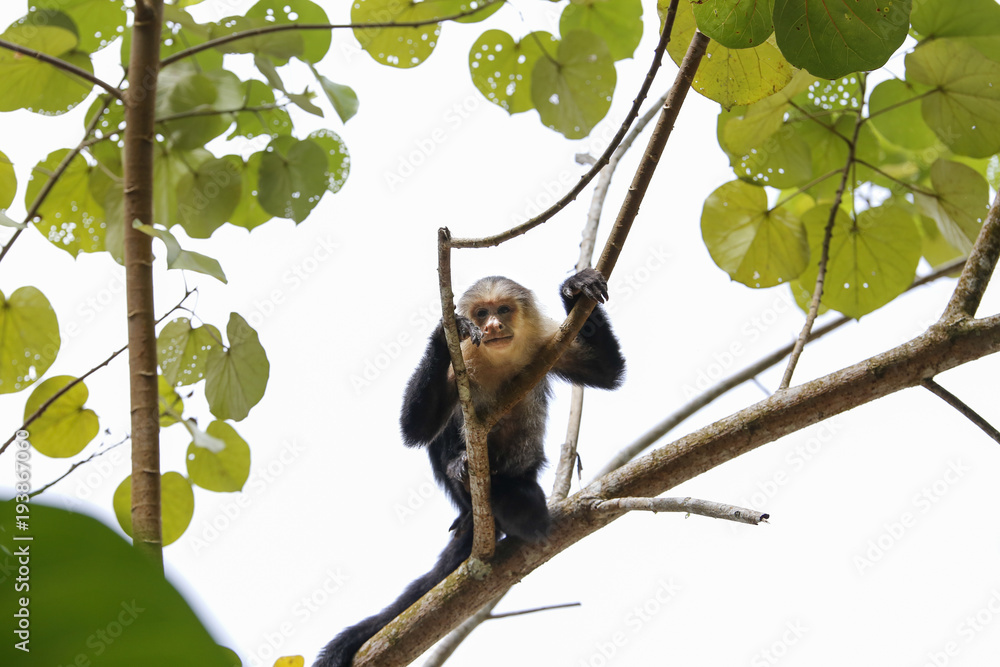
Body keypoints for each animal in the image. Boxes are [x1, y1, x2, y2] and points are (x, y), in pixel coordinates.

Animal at [315, 268, 625, 667]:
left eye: (503, 310)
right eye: (481, 314)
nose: (491, 325)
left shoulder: (548, 346)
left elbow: (607, 372)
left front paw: (575, 287)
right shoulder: (457, 365)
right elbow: (415, 429)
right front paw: (443, 332)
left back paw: (514, 502)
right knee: (442, 433)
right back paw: (466, 487)